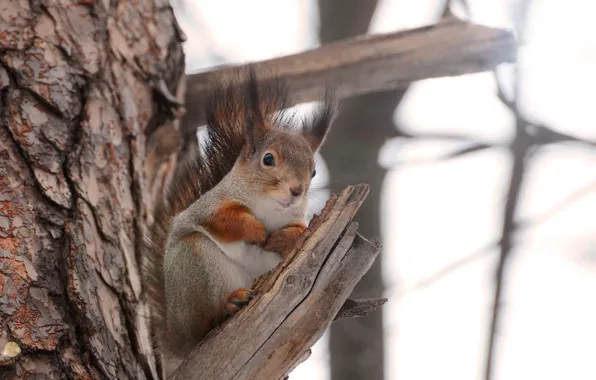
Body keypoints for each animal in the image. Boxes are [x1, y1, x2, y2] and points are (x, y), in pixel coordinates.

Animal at [140, 66, 336, 374]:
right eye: (268, 159)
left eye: (314, 171)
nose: (296, 191)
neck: (270, 208)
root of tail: (175, 340)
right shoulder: (210, 206)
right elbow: (224, 220)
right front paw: (256, 231)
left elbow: (299, 233)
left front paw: (283, 238)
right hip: (194, 263)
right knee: (201, 327)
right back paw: (226, 306)